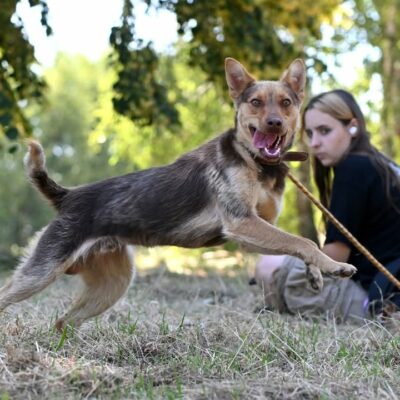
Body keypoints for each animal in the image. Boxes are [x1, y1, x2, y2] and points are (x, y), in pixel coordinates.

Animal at [0, 58, 356, 330]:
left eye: (286, 103)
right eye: (255, 102)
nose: (274, 124)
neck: (255, 161)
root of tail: (68, 196)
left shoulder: (256, 227)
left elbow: (297, 244)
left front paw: (316, 273)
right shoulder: (242, 223)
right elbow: (303, 241)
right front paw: (334, 266)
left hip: (112, 284)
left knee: (63, 322)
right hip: (41, 273)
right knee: (10, 298)